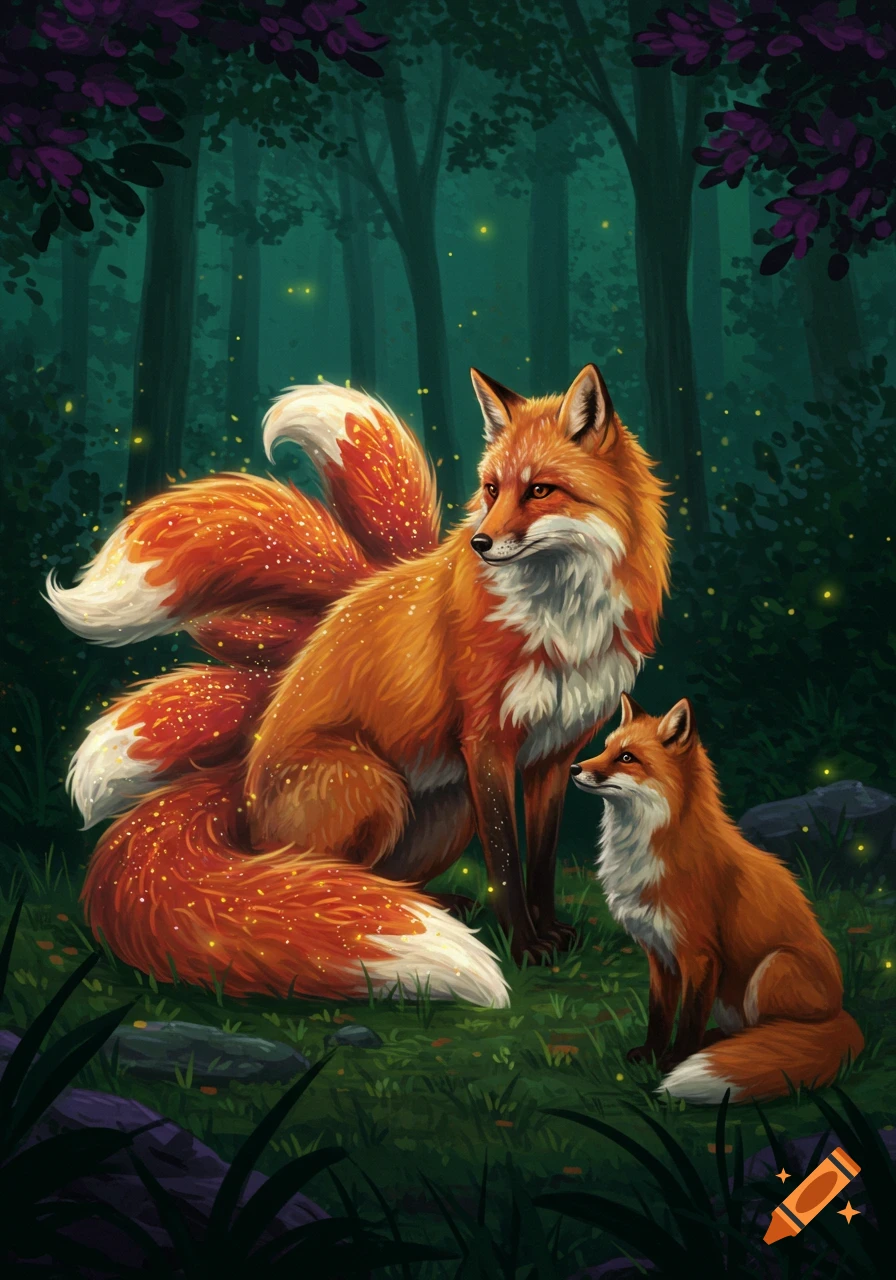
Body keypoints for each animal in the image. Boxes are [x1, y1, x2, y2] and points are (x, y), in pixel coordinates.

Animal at [46, 365, 669, 1005]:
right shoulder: (487, 743)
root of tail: (240, 782)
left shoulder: (554, 753)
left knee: (380, 876)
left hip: (449, 805)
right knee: (319, 874)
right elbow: (504, 862)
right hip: (376, 786)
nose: (480, 543)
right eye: (492, 489)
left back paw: (435, 905)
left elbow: (539, 863)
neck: (562, 623)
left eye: (540, 490)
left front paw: (549, 933)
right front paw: (523, 946)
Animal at [571, 693, 864, 1103]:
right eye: (607, 747)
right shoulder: (658, 952)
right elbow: (659, 1014)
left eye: (626, 757)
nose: (574, 768)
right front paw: (651, 1054)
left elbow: (690, 1018)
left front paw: (674, 1060)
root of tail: (838, 1012)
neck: (653, 845)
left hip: (773, 967)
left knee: (769, 1037)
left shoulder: (699, 953)